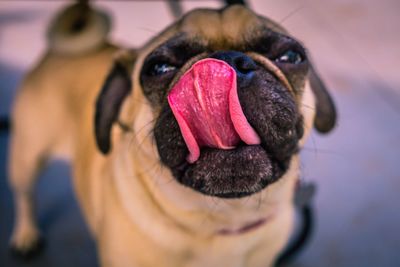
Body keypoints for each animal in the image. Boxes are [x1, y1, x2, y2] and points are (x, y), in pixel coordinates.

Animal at [7, 1, 336, 266]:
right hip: (27, 154)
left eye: (292, 57)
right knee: (25, 194)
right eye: (158, 68)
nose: (228, 59)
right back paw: (25, 235)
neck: (222, 221)